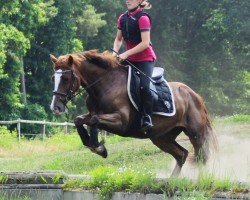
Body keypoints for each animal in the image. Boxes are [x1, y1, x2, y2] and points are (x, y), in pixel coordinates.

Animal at [49, 50, 217, 177]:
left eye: (66, 78)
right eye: (53, 78)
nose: (55, 107)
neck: (104, 85)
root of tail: (194, 95)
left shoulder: (121, 122)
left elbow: (95, 120)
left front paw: (98, 147)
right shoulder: (93, 114)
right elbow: (80, 120)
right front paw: (95, 146)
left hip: (195, 134)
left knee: (201, 157)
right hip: (161, 137)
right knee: (182, 154)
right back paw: (172, 180)